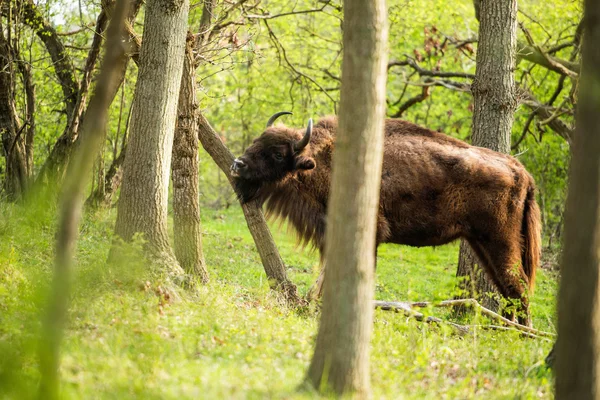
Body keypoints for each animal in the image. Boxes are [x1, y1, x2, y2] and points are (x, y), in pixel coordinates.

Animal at [232, 111, 540, 324]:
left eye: (276, 153)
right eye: (257, 141)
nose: (237, 164)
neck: (320, 160)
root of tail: (521, 170)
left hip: (500, 242)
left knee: (518, 286)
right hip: (481, 243)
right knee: (509, 290)